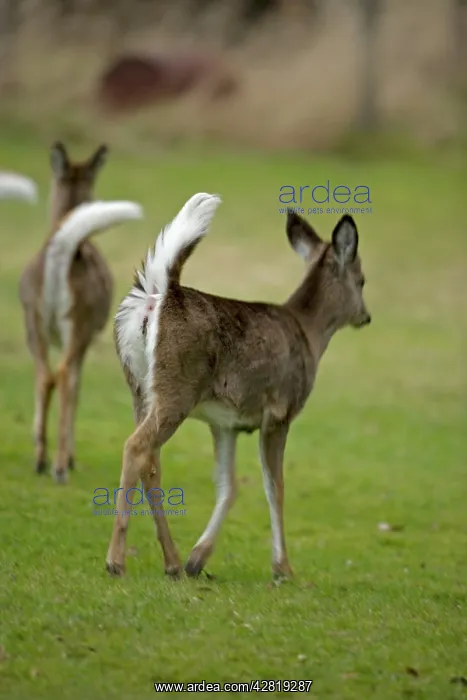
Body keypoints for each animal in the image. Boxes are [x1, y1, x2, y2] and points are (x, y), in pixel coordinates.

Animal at [19, 142, 143, 484]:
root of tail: (62, 249)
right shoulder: (87, 336)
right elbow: (77, 388)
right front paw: (71, 458)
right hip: (78, 321)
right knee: (63, 376)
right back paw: (60, 466)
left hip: (32, 319)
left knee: (43, 375)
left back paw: (40, 459)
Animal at [106, 193, 371, 580]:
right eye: (362, 279)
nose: (366, 316)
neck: (308, 332)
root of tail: (158, 295)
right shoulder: (279, 413)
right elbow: (275, 487)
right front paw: (283, 568)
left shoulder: (225, 422)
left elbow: (228, 486)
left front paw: (198, 558)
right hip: (176, 389)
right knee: (136, 447)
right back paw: (116, 560)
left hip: (139, 389)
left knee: (151, 462)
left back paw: (173, 562)